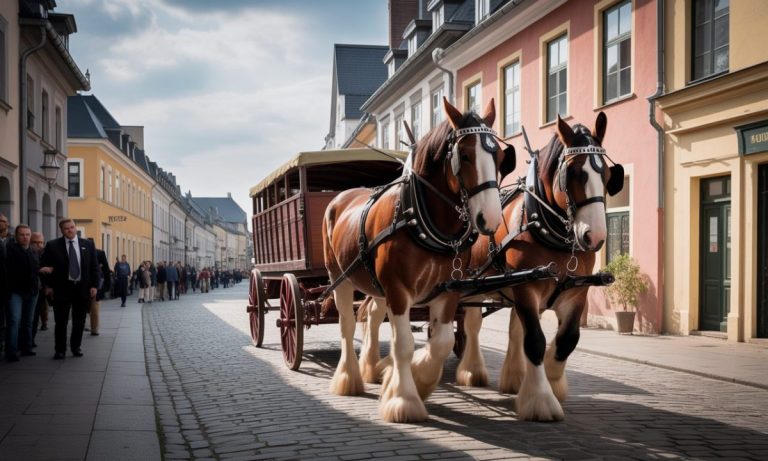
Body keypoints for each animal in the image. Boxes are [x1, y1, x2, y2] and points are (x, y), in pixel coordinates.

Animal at [322, 97, 515, 423]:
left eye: (500, 156)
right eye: (464, 155)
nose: (489, 218)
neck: (420, 218)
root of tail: (339, 198)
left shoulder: (447, 291)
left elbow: (441, 342)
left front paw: (416, 380)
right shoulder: (399, 291)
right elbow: (403, 345)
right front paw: (404, 399)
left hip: (376, 286)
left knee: (372, 315)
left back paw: (371, 367)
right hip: (341, 279)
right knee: (347, 325)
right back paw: (349, 379)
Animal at [454, 112, 624, 421]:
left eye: (607, 175)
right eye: (574, 173)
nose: (594, 237)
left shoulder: (575, 293)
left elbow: (567, 339)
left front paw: (553, 383)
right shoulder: (526, 288)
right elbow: (535, 340)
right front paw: (541, 400)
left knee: (513, 329)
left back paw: (514, 378)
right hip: (474, 286)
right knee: (472, 326)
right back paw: (472, 371)